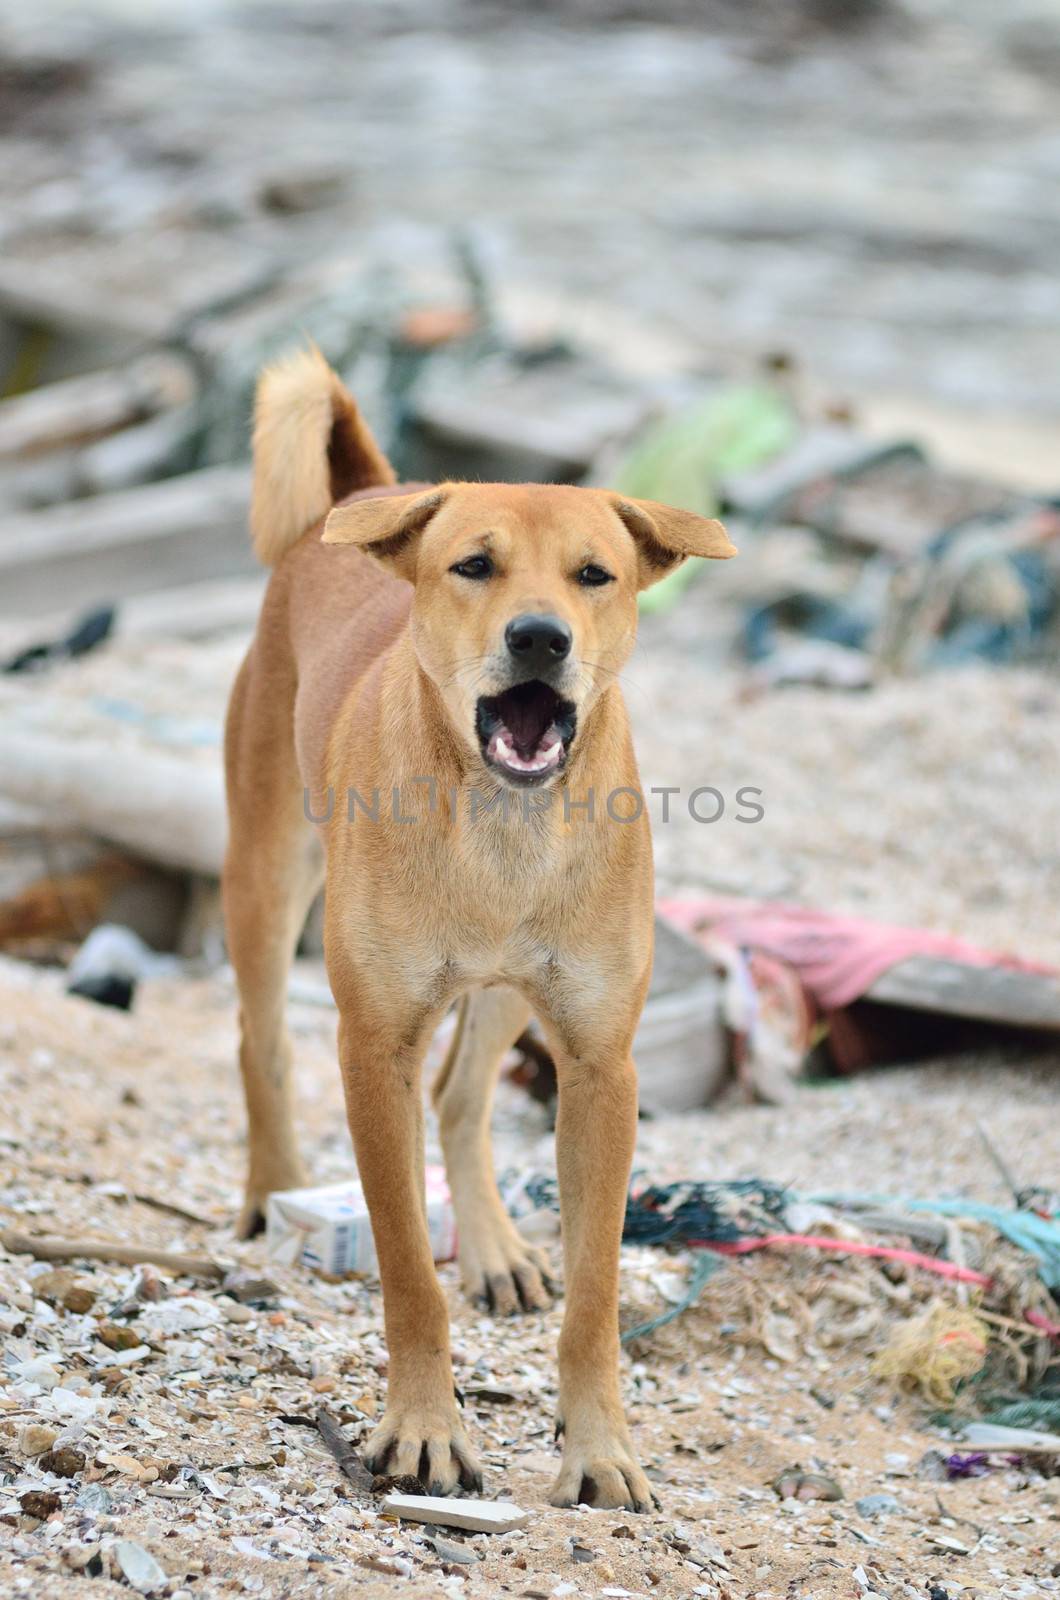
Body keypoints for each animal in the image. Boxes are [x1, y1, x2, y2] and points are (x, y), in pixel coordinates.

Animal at [224, 344, 739, 1504]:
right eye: (472, 565)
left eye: (594, 575)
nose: (539, 637)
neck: (503, 826)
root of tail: (368, 494)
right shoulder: (374, 1046)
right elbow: (408, 1270)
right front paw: (424, 1429)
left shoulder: (599, 1063)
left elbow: (596, 1296)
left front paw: (599, 1448)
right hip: (264, 879)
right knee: (260, 1040)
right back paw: (272, 1191)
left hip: (509, 992)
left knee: (462, 1101)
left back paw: (496, 1246)